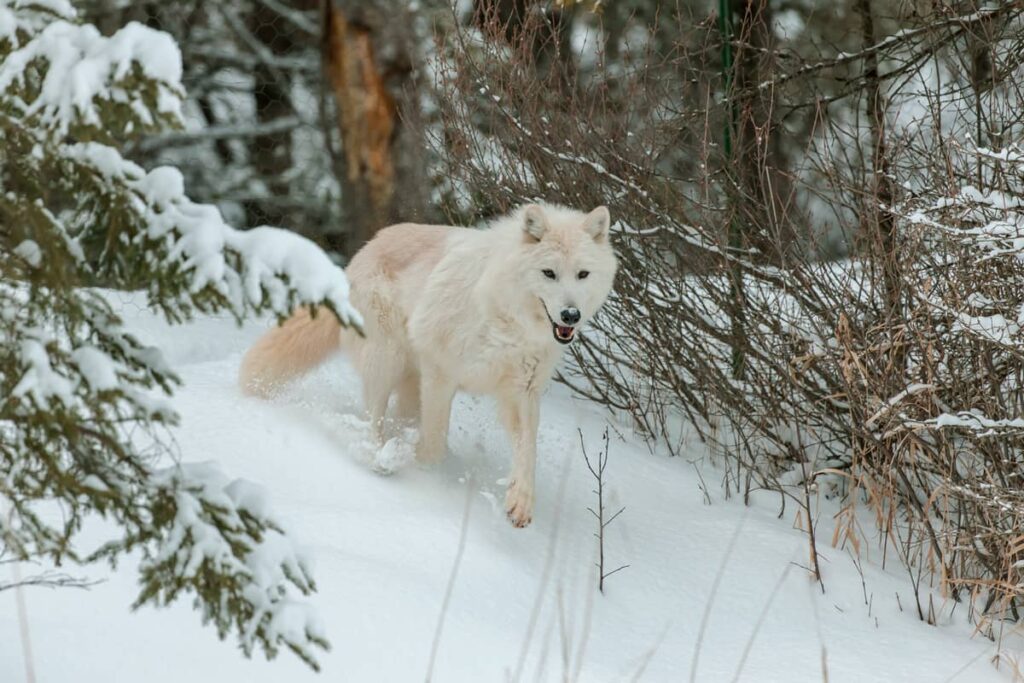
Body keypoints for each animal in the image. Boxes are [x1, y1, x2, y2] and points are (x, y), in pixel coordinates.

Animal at [239, 202, 617, 527]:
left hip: (408, 378)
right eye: (549, 273)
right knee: (373, 418)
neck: (506, 320)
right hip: (386, 361)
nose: (571, 315)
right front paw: (429, 481)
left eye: (582, 274)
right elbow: (434, 444)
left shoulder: (521, 391)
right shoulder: (440, 374)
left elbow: (528, 451)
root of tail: (360, 255)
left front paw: (520, 503)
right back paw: (378, 458)